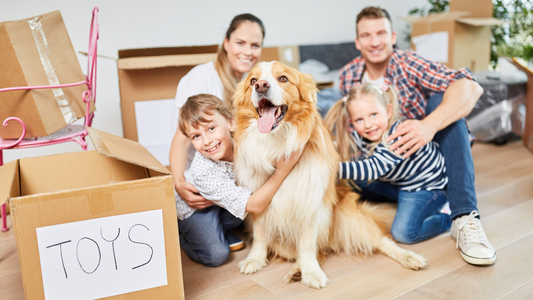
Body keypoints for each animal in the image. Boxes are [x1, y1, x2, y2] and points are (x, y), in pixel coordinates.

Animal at [233, 61, 428, 288]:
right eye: (253, 81)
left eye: (283, 78)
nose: (261, 86)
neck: (276, 144)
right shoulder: (257, 202)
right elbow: (260, 235)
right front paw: (255, 258)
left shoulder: (309, 204)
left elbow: (307, 245)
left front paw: (311, 272)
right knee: (319, 252)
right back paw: (296, 270)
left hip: (347, 216)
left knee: (379, 239)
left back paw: (409, 257)